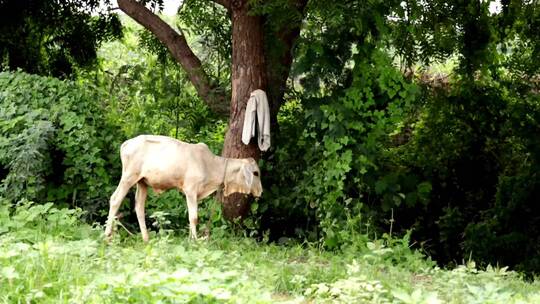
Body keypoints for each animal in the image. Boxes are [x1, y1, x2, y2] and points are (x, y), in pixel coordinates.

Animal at [104, 134, 262, 241]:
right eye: (256, 173)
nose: (260, 191)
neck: (210, 164)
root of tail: (126, 143)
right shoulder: (190, 190)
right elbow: (194, 217)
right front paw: (194, 240)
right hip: (128, 177)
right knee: (115, 199)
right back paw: (107, 236)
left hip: (142, 183)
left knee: (139, 207)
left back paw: (146, 238)